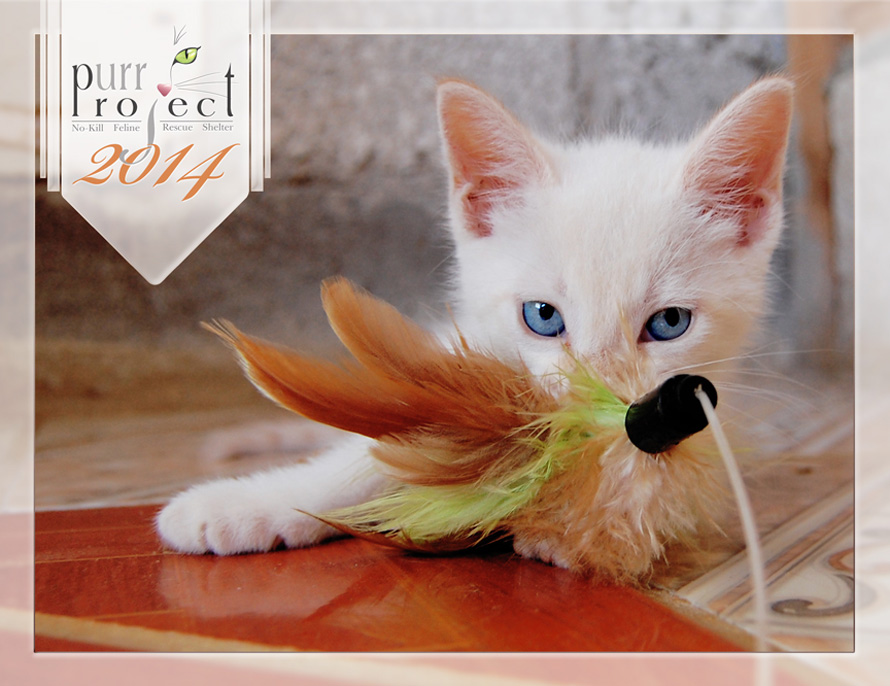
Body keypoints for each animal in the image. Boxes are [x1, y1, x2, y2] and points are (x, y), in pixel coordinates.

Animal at [158, 78, 792, 576]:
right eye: (543, 316)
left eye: (669, 323)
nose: (595, 406)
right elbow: (375, 450)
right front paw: (249, 505)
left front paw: (578, 519)